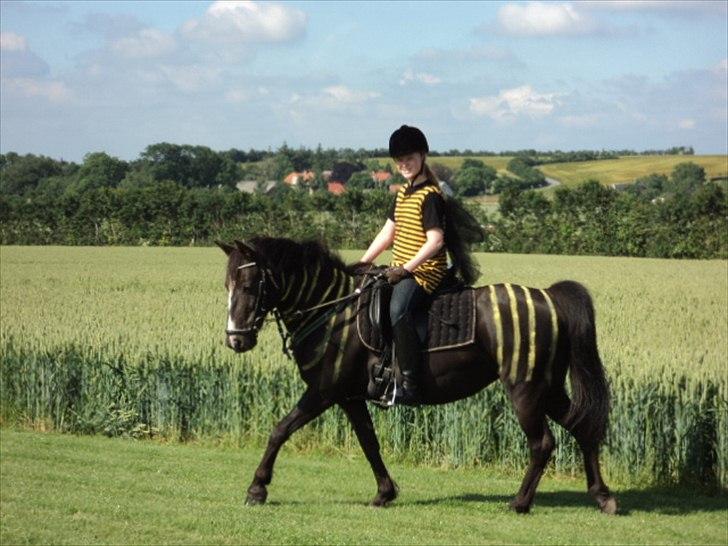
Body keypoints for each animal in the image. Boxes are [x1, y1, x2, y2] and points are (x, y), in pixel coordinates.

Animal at [218, 236, 620, 512]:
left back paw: (520, 502)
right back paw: (603, 497)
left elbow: (279, 430)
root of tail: (549, 297)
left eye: (250, 286)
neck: (333, 312)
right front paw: (385, 493)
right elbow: (369, 443)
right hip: (548, 388)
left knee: (543, 443)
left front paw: (257, 488)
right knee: (583, 427)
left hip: (526, 390)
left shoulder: (323, 392)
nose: (236, 340)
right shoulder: (349, 397)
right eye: (227, 286)